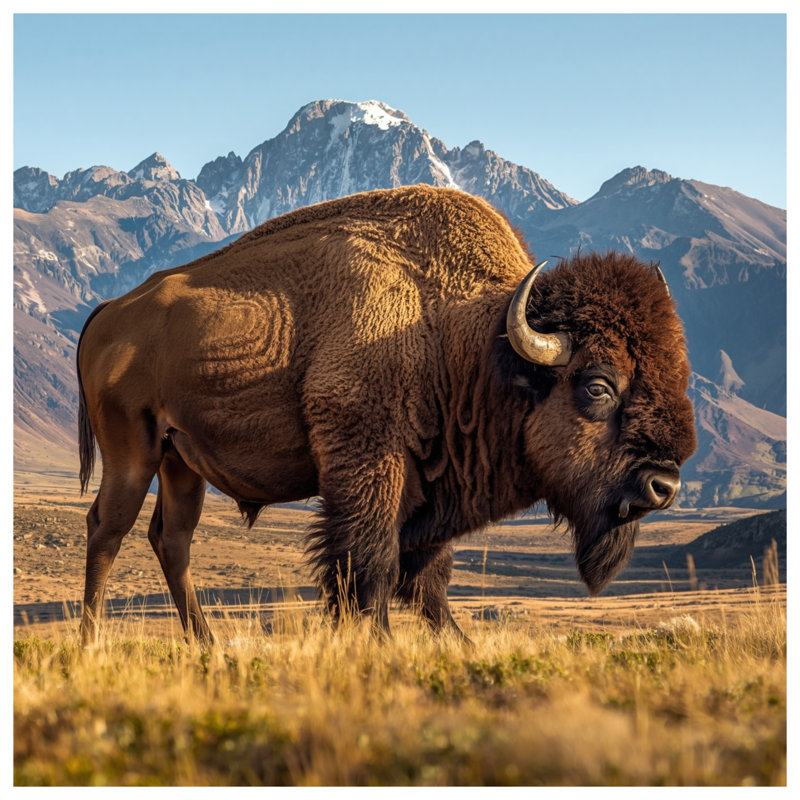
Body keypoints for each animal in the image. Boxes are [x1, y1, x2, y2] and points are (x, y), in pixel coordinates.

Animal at [76, 185, 696, 646]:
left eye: (679, 376)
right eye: (597, 386)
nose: (663, 485)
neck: (467, 339)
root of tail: (109, 311)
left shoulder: (430, 492)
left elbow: (426, 579)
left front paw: (456, 645)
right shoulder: (368, 466)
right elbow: (368, 565)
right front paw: (377, 643)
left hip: (181, 463)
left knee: (171, 539)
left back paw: (206, 645)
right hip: (132, 454)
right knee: (107, 530)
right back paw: (91, 640)